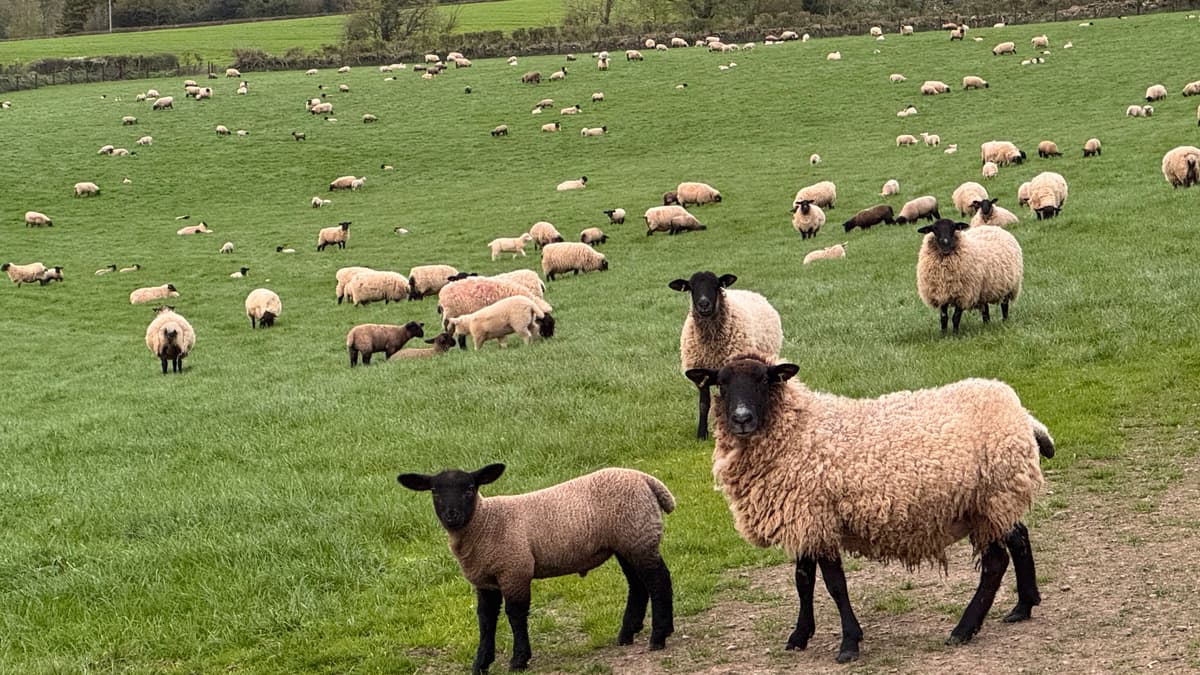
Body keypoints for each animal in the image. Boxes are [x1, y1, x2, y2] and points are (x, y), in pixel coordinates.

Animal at [398, 464, 674, 673]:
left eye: (469, 489)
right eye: (435, 491)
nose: (452, 515)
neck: (484, 521)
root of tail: (646, 479)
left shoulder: (515, 570)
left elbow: (515, 615)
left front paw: (519, 660)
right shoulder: (485, 580)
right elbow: (485, 620)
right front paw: (481, 664)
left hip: (639, 536)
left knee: (659, 581)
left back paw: (659, 636)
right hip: (626, 542)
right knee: (638, 585)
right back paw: (627, 634)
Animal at [667, 271, 783, 440]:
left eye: (716, 285)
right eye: (691, 287)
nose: (703, 304)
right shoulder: (701, 374)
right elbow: (704, 404)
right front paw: (701, 434)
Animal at [686, 353, 1053, 662]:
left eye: (764, 379)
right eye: (721, 383)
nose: (741, 419)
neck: (796, 430)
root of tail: (1020, 412)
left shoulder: (820, 518)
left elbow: (834, 584)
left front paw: (849, 643)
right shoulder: (806, 517)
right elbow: (803, 581)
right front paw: (799, 636)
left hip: (993, 498)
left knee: (995, 562)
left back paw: (964, 629)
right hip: (995, 503)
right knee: (1019, 538)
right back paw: (1023, 606)